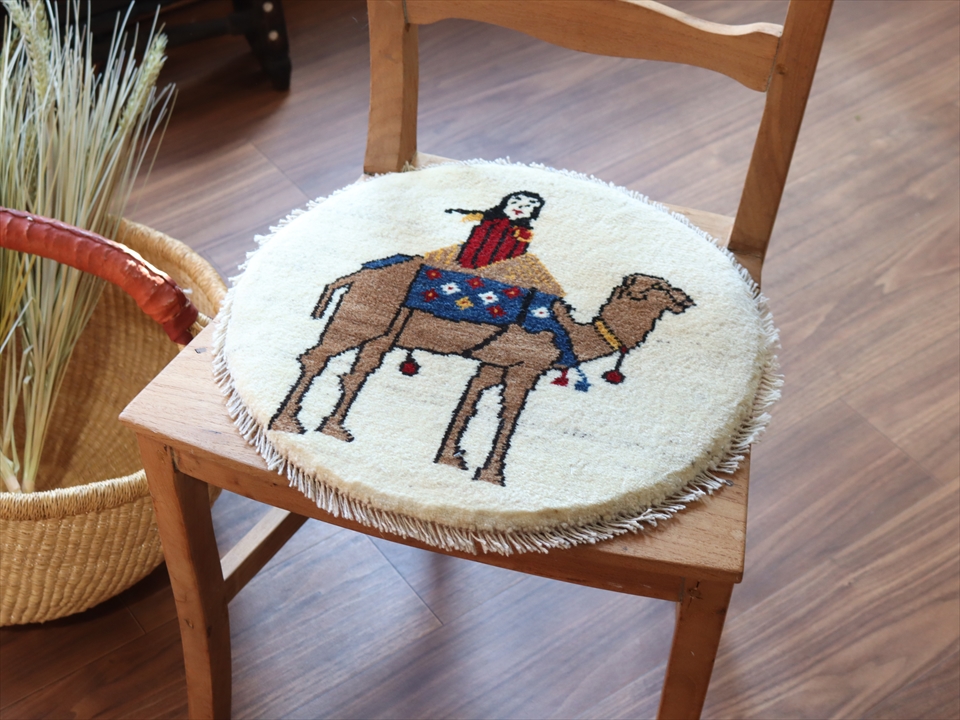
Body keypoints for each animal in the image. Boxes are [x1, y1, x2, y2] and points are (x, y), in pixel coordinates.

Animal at [269, 256, 694, 486]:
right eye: (659, 288)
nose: (686, 300)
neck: (569, 333)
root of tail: (356, 274)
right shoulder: (526, 365)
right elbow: (510, 415)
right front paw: (492, 474)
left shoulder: (494, 363)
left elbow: (470, 400)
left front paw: (451, 458)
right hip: (362, 316)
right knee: (317, 357)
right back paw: (288, 423)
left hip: (382, 328)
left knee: (358, 370)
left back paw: (334, 430)